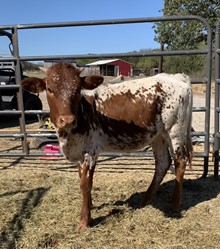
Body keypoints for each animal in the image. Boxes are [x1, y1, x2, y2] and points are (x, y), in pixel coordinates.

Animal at [21, 62, 192, 230]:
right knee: (162, 163)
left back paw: (175, 204)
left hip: (174, 132)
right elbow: (81, 178)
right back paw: (145, 201)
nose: (68, 120)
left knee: (180, 162)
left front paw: (85, 220)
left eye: (78, 89)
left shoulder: (90, 152)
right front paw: (89, 206)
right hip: (158, 136)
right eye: (50, 89)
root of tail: (176, 77)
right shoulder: (79, 151)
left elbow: (85, 185)